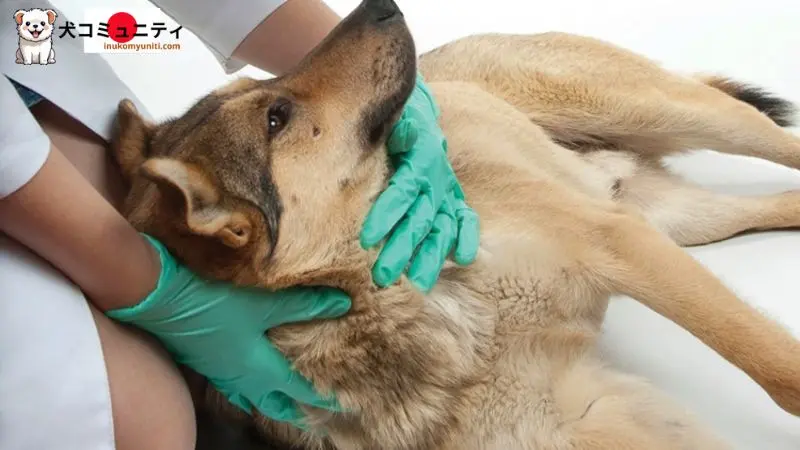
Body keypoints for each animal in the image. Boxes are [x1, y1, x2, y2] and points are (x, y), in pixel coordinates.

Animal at [111, 0, 800, 448]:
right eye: (276, 117)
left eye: (265, 91)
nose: (380, 3)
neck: (390, 294)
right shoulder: (581, 416)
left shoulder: (617, 243)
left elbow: (777, 371)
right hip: (677, 218)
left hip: (673, 120)